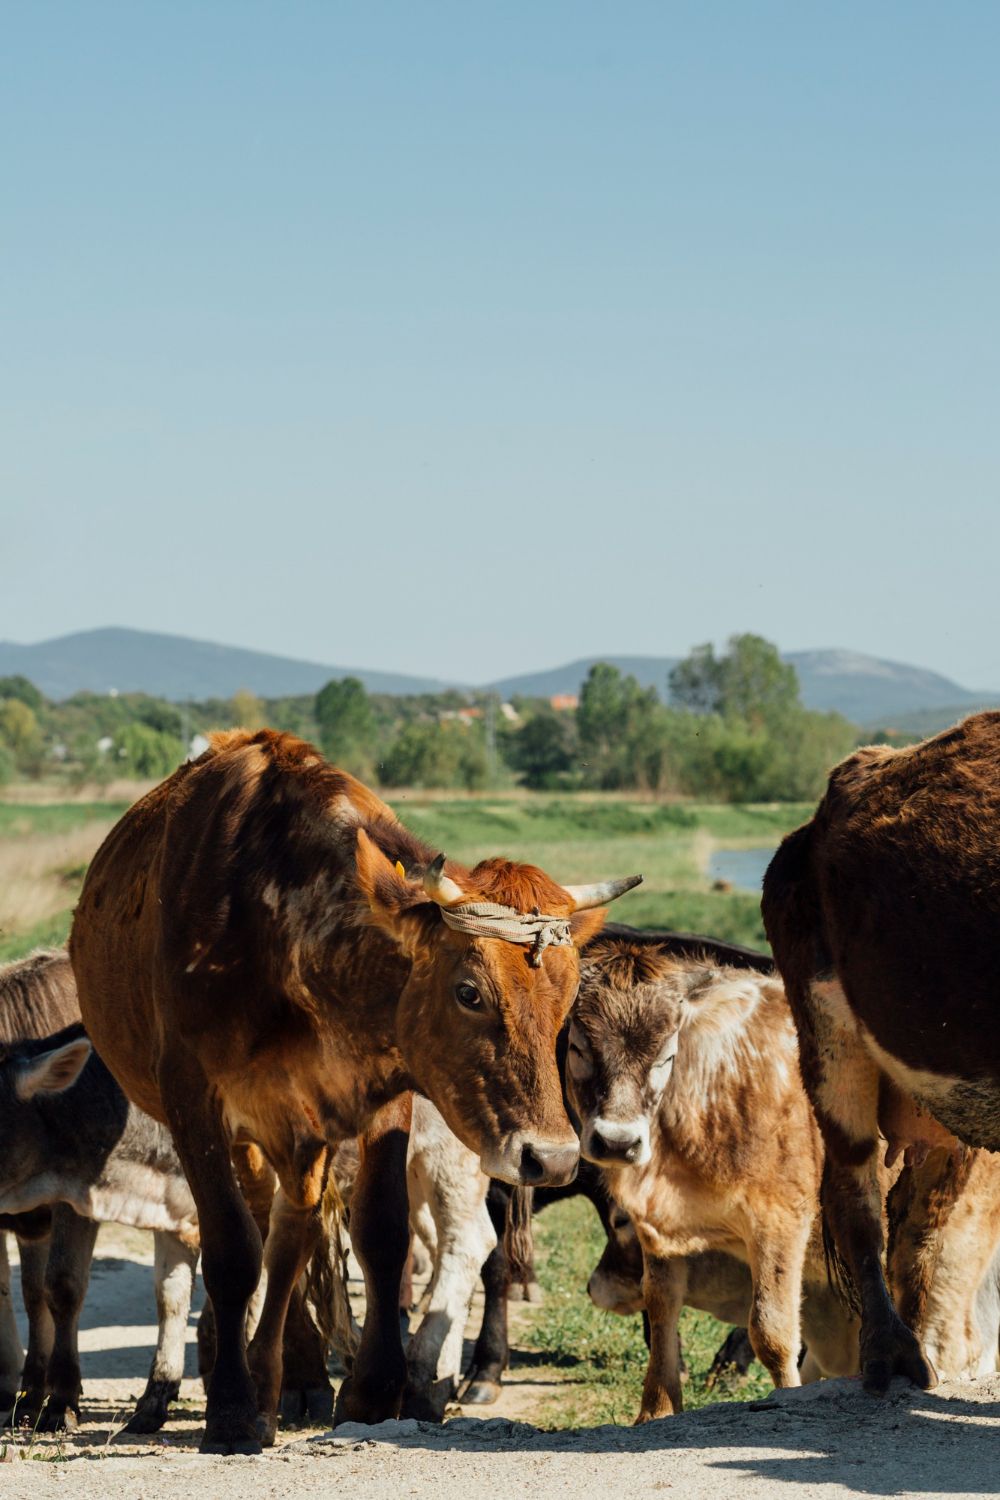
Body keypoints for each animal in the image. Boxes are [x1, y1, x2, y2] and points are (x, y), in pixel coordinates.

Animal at [69, 728, 640, 1452]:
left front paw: (371, 1393)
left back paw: (291, 1376)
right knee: (268, 1228)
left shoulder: (385, 1098)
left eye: (567, 998)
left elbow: (382, 1235)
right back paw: (270, 1377)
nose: (554, 1157)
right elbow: (231, 1249)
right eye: (469, 991)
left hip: (300, 1131)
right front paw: (231, 1408)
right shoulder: (193, 1102)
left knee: (292, 1232)